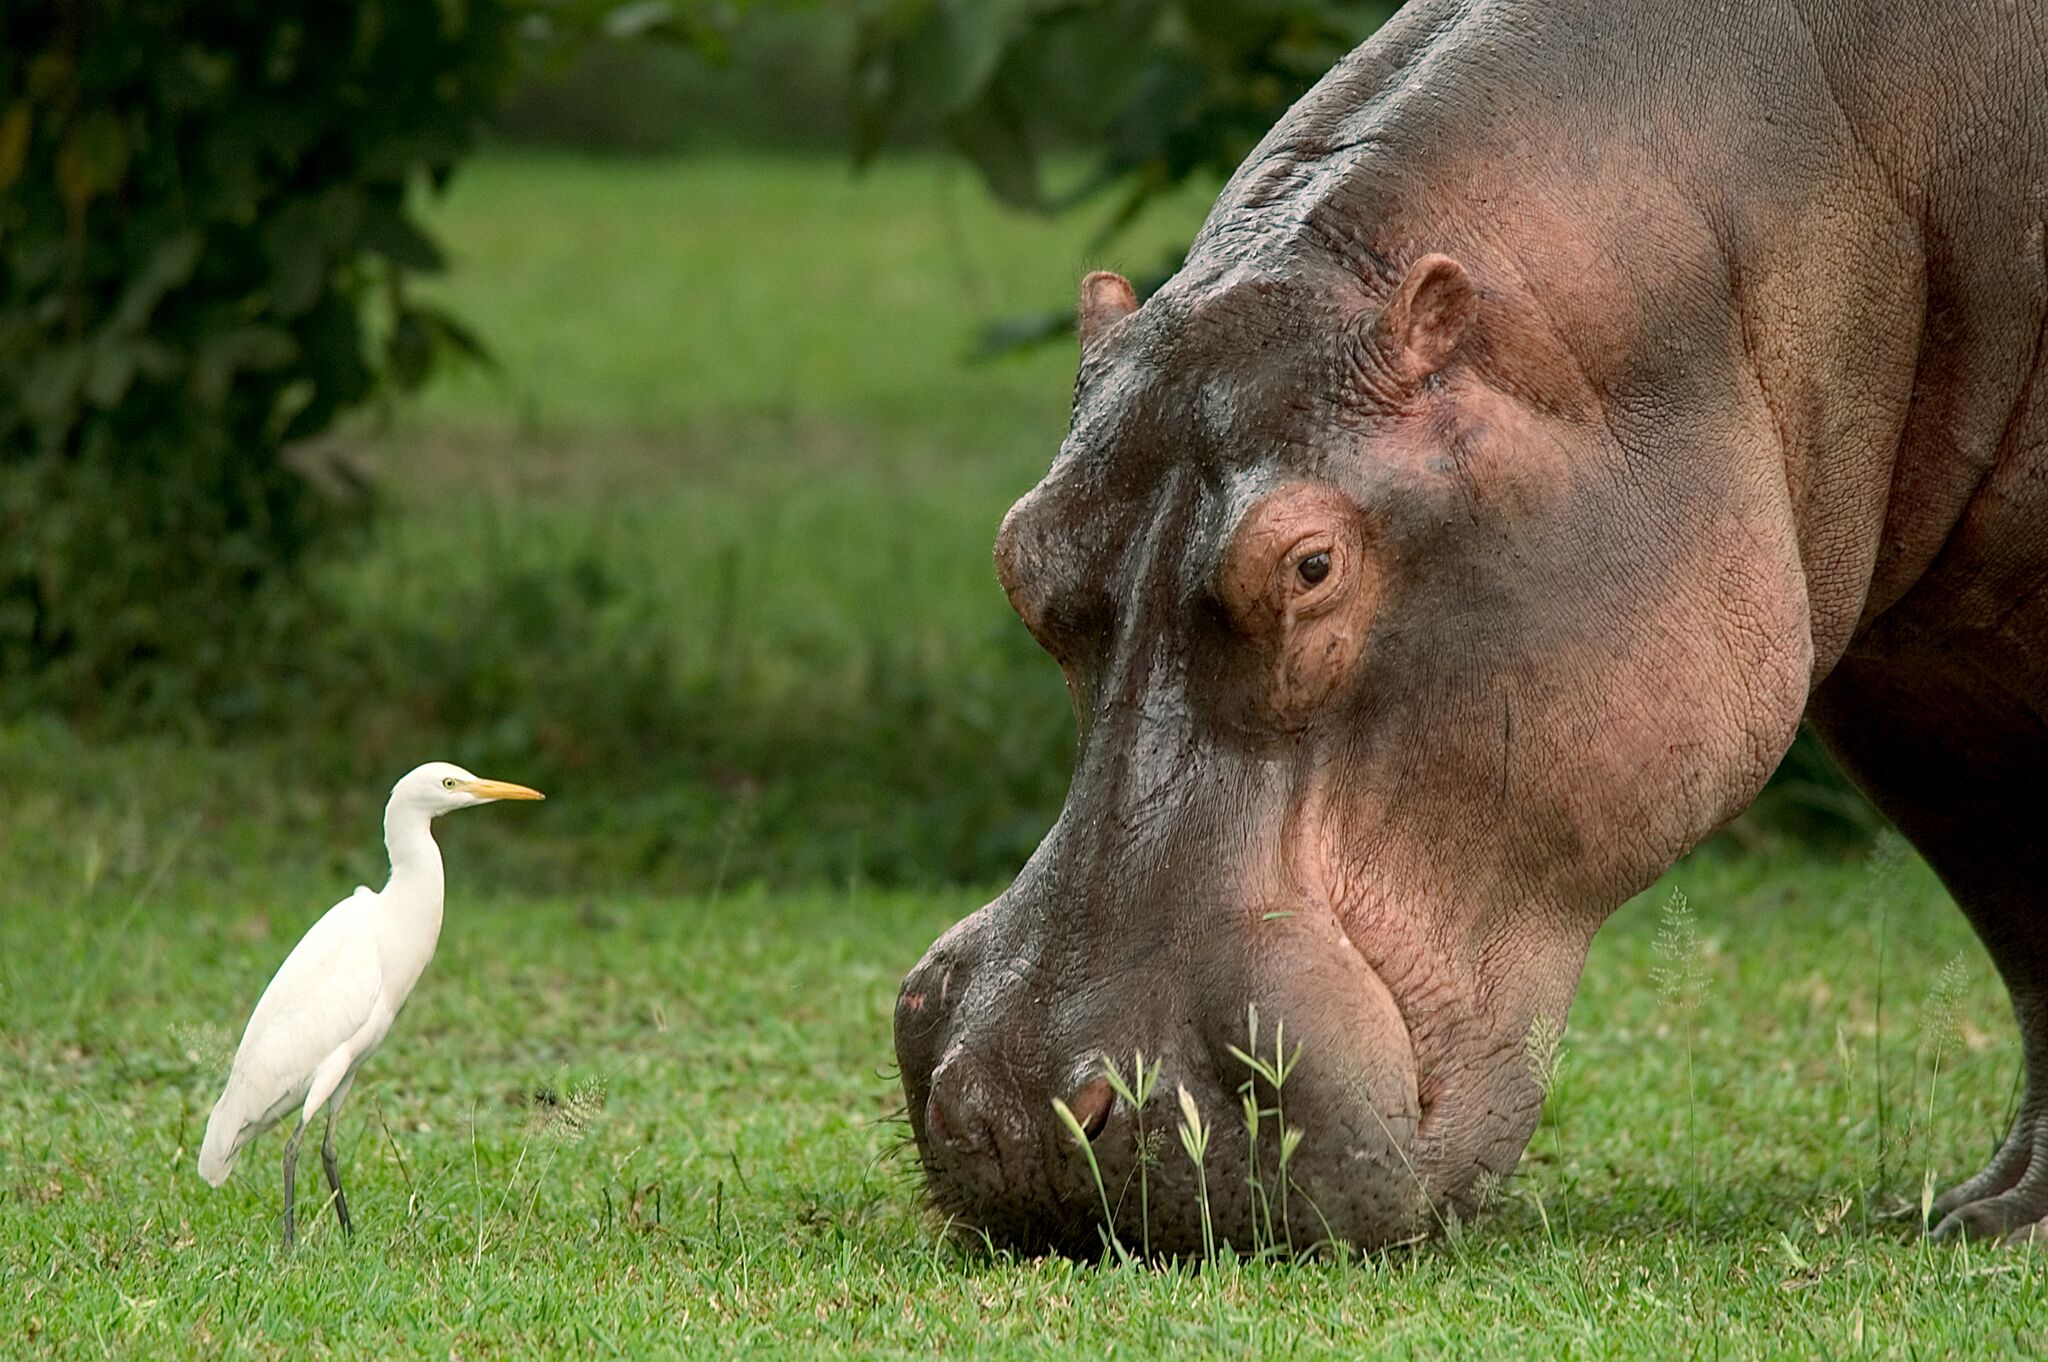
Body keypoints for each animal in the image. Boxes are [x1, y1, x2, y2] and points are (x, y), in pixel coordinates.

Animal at [894, 0, 2048, 1255]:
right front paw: (1983, 1211)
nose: (1007, 1113)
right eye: (1022, 554)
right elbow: (2019, 910)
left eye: (1309, 566)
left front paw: (2003, 1223)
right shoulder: (1909, 683)